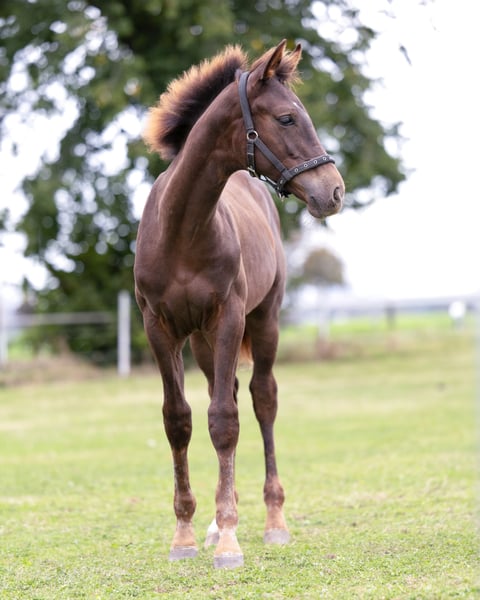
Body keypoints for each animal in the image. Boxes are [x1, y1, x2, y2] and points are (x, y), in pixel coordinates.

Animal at [134, 40, 345, 569]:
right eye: (287, 118)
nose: (334, 191)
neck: (182, 232)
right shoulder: (159, 328)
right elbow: (179, 420)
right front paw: (186, 535)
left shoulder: (229, 317)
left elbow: (225, 421)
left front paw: (230, 540)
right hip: (203, 343)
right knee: (220, 393)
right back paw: (213, 523)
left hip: (263, 322)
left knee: (262, 401)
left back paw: (273, 521)